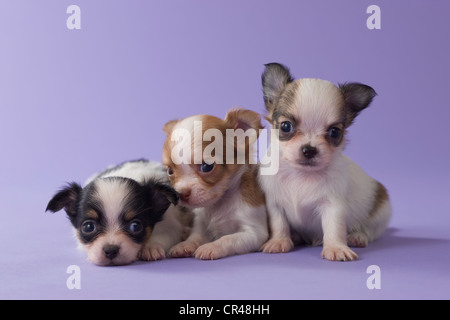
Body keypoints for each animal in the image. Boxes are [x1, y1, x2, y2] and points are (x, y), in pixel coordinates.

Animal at [44, 159, 187, 266]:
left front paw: (150, 247)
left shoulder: (171, 224)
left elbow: (165, 235)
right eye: (88, 227)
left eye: (135, 226)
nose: (111, 250)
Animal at [162, 109, 268, 258]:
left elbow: (228, 238)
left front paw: (211, 247)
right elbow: (195, 237)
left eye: (207, 167)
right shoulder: (201, 225)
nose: (181, 194)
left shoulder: (254, 233)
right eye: (170, 171)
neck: (220, 204)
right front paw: (184, 245)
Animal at [258, 63, 392, 262]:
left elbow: (334, 228)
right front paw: (279, 241)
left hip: (380, 210)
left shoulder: (333, 205)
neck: (301, 174)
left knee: (370, 230)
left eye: (335, 132)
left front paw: (336, 248)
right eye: (286, 126)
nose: (309, 149)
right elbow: (279, 224)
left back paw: (357, 237)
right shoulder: (274, 204)